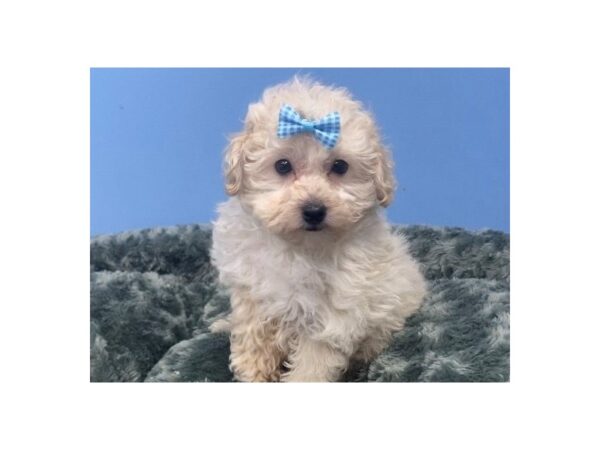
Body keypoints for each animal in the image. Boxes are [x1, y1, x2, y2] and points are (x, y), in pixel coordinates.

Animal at [211, 78, 426, 384]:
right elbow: (253, 336)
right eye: (282, 165)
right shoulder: (253, 293)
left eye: (340, 166)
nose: (314, 210)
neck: (298, 247)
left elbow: (313, 361)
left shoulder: (332, 315)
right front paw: (253, 374)